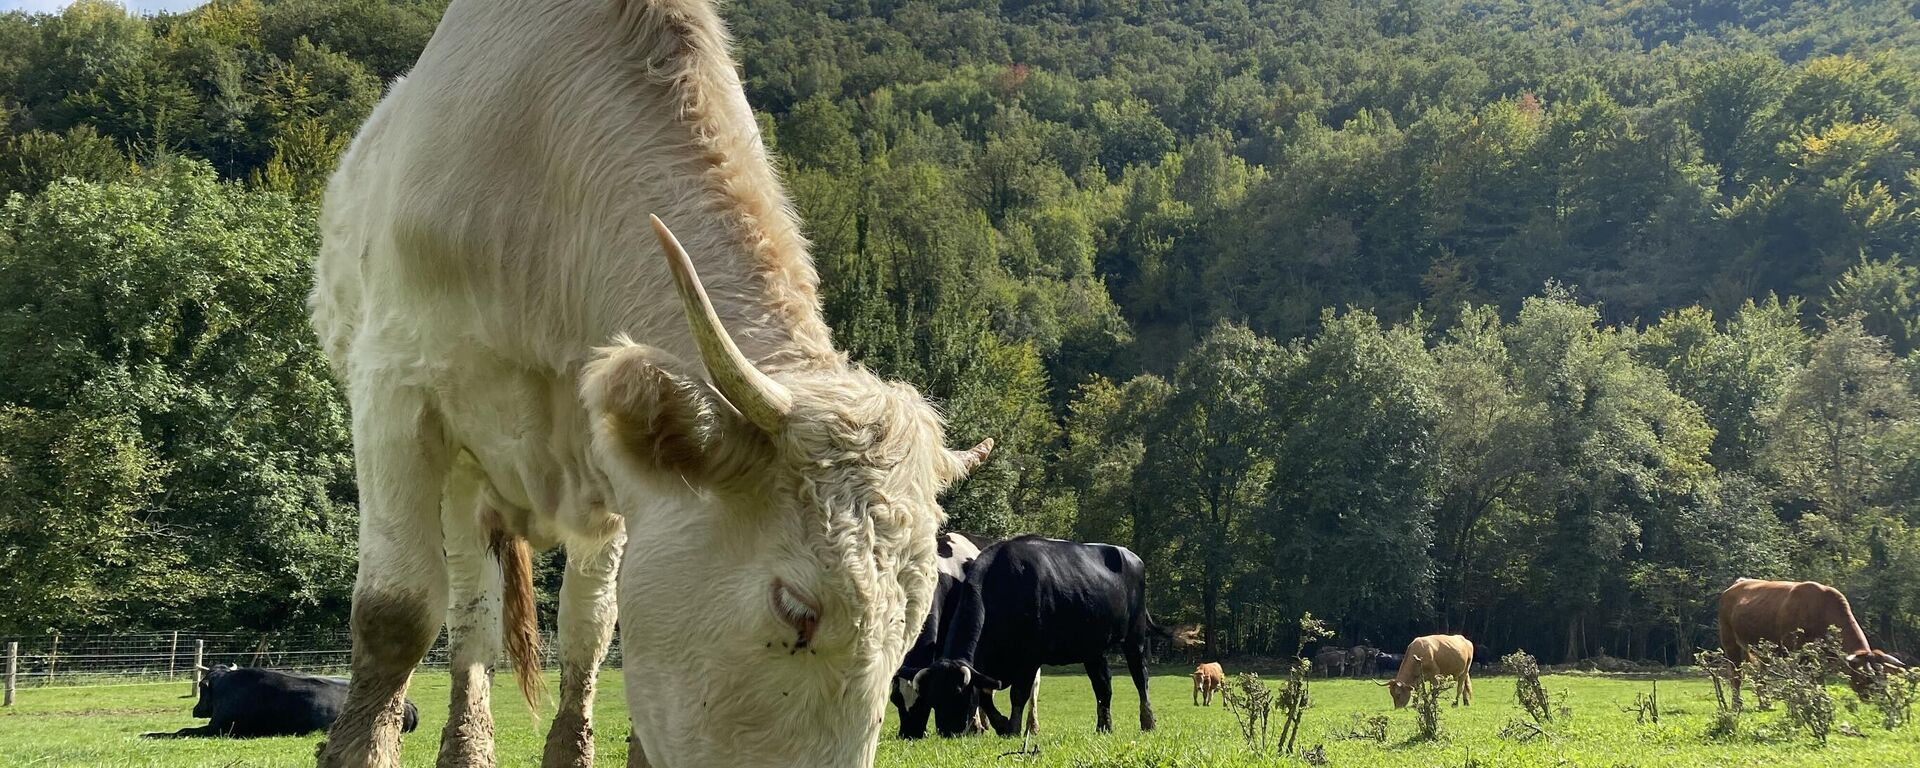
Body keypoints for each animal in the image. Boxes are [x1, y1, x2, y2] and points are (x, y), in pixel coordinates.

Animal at [144, 664, 422, 737]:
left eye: (203, 687)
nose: (195, 709)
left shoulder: (221, 728)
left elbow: (182, 730)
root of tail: (407, 702)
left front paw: (150, 734)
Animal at [906, 533, 1159, 737]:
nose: (947, 731)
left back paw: (1148, 722)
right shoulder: (987, 665)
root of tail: (1130, 555)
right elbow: (986, 695)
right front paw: (1001, 724)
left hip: (1135, 638)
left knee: (1141, 677)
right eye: (932, 698)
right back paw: (1104, 726)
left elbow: (1018, 694)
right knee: (1103, 685)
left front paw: (1013, 728)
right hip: (1093, 649)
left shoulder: (1029, 658)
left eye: (959, 694)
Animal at [1712, 576, 1904, 695]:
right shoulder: (1795, 651)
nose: (1873, 695)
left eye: (1883, 677)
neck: (1822, 610)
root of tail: (1738, 584)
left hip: (1761, 647)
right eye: (1865, 675)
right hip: (1729, 641)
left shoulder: (1819, 658)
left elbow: (1820, 683)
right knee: (1736, 675)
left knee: (1761, 673)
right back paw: (1736, 705)